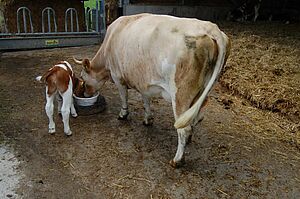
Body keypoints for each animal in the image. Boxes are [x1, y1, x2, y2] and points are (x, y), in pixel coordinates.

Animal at [74, 13, 231, 167]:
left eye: (82, 78)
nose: (84, 94)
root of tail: (210, 27)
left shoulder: (118, 77)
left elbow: (124, 97)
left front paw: (123, 114)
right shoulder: (143, 81)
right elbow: (145, 100)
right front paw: (148, 119)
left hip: (180, 94)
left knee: (183, 129)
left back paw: (177, 160)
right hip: (201, 93)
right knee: (195, 118)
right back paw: (190, 139)